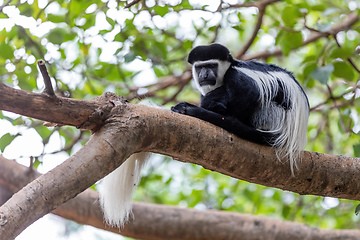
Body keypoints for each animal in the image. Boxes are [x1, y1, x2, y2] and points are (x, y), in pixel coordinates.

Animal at [172, 43, 310, 172]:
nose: (204, 75)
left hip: (274, 115)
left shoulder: (238, 73)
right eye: (200, 67)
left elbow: (250, 91)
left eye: (212, 66)